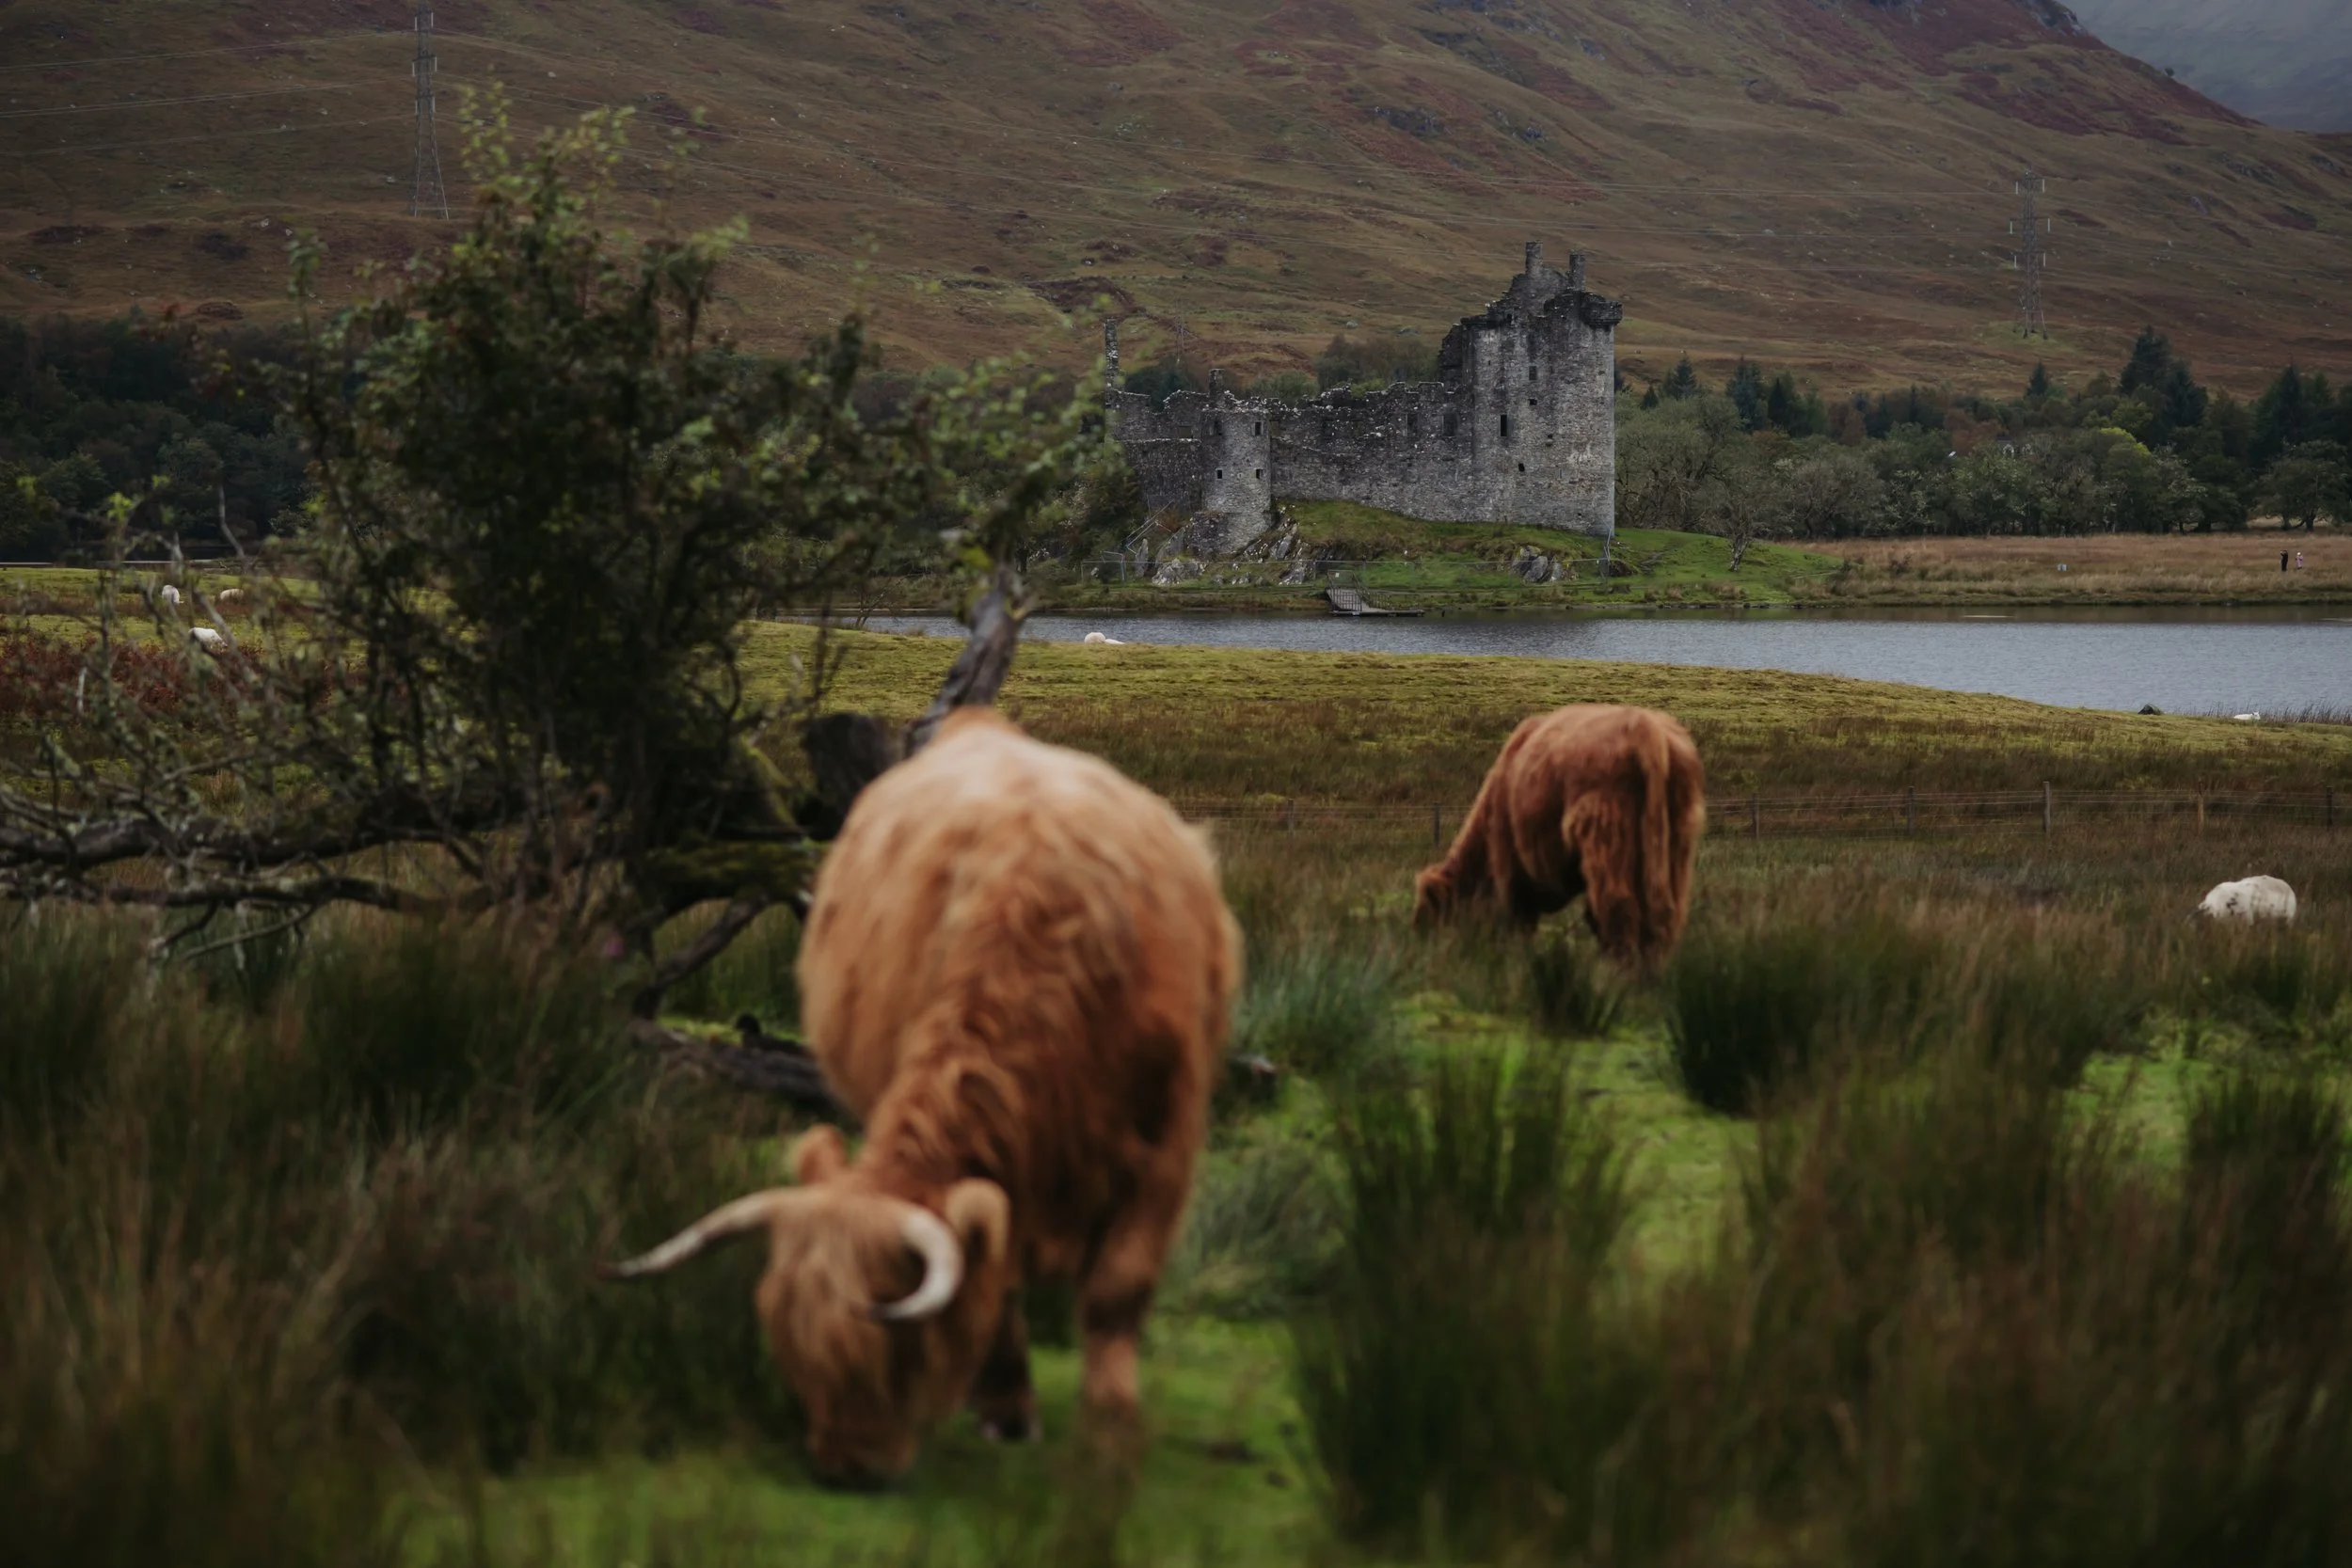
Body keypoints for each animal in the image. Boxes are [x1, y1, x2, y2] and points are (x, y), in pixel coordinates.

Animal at [603, 708, 1241, 1486]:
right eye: (789, 1341)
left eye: (898, 1347)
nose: (844, 1466)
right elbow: (998, 1276)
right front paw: (1007, 1409)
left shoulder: (1167, 1141)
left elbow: (1118, 1289)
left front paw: (1111, 1433)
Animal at [1414, 704, 1705, 968]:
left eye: (1431, 914)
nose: (1421, 948)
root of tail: (1644, 729)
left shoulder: (1510, 873)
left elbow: (1520, 925)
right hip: (1676, 837)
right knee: (1664, 915)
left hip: (1605, 832)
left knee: (1618, 907)